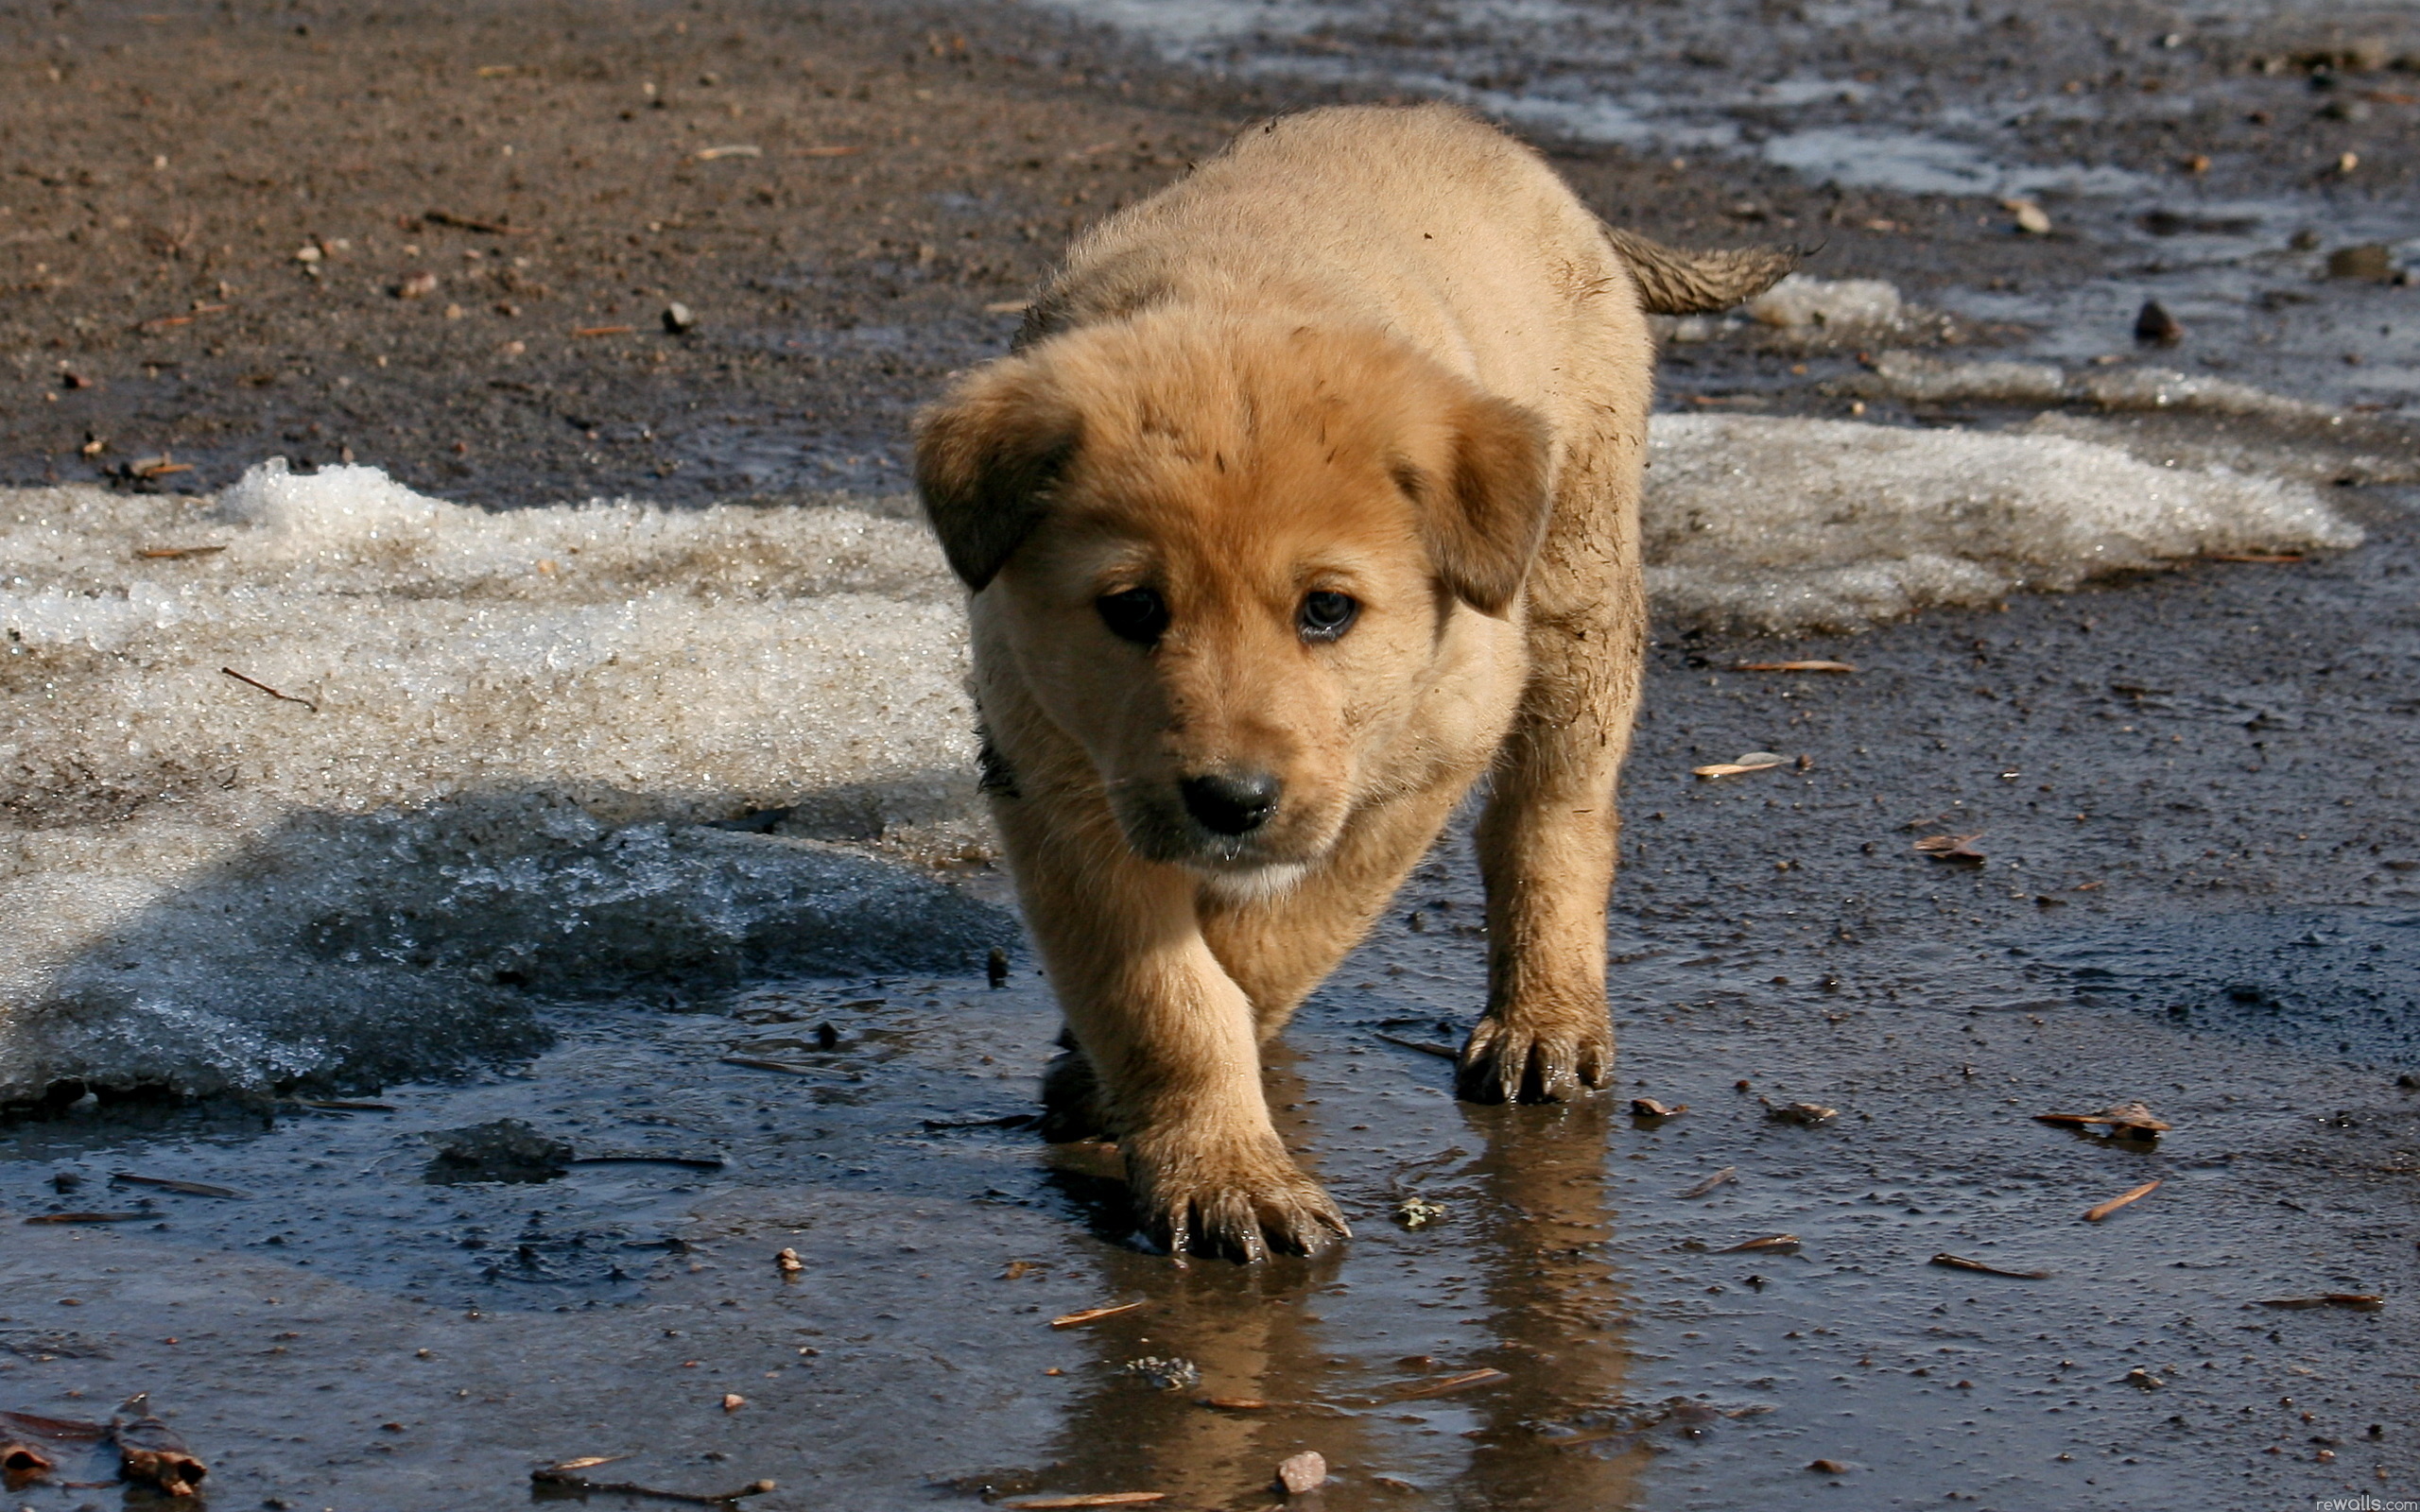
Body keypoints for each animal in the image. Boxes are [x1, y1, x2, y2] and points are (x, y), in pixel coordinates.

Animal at [914, 106, 1790, 1258]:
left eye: (1326, 610)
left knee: (1554, 818)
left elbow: (1273, 944)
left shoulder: (1422, 760)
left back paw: (1545, 1020)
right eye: (1133, 609)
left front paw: (1167, 1120)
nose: (1231, 801)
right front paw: (1220, 1168)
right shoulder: (1050, 771)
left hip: (1579, 590)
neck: (1238, 301)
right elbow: (1163, 993)